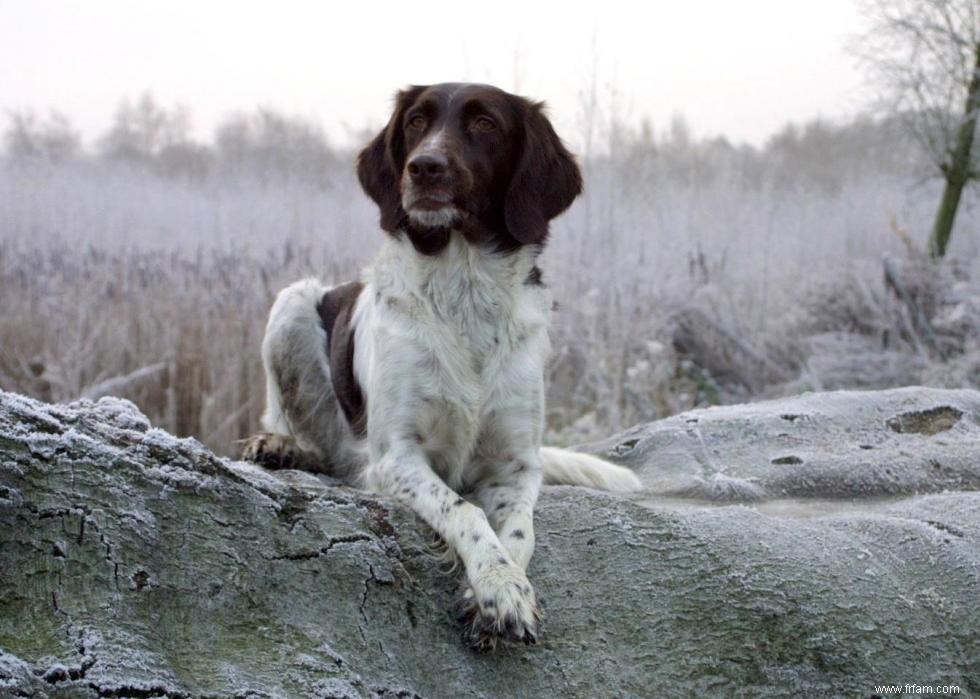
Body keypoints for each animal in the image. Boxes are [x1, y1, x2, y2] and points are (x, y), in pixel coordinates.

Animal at [245, 83, 644, 652]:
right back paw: (282, 445)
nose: (424, 167)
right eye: (416, 121)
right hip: (293, 302)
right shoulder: (397, 458)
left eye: (485, 124)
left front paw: (500, 589)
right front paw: (498, 588)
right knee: (304, 433)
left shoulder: (516, 466)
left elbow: (519, 532)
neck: (465, 289)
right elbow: (465, 510)